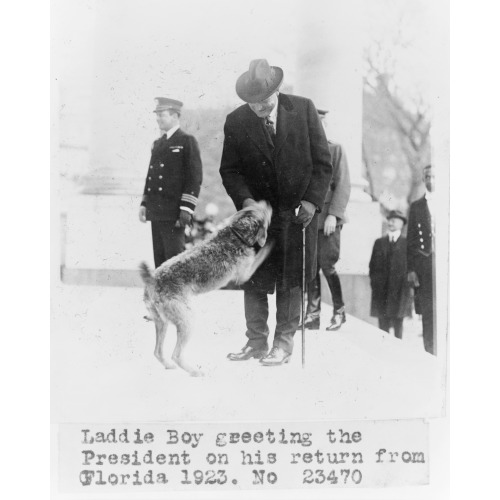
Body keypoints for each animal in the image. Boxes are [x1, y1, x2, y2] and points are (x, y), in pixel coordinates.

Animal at [139, 199, 274, 376]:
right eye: (265, 211)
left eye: (256, 203)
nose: (269, 203)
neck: (237, 234)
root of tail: (152, 281)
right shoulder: (245, 273)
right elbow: (262, 253)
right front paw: (271, 243)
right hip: (187, 320)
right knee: (176, 354)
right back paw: (195, 372)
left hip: (162, 323)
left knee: (158, 352)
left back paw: (170, 366)